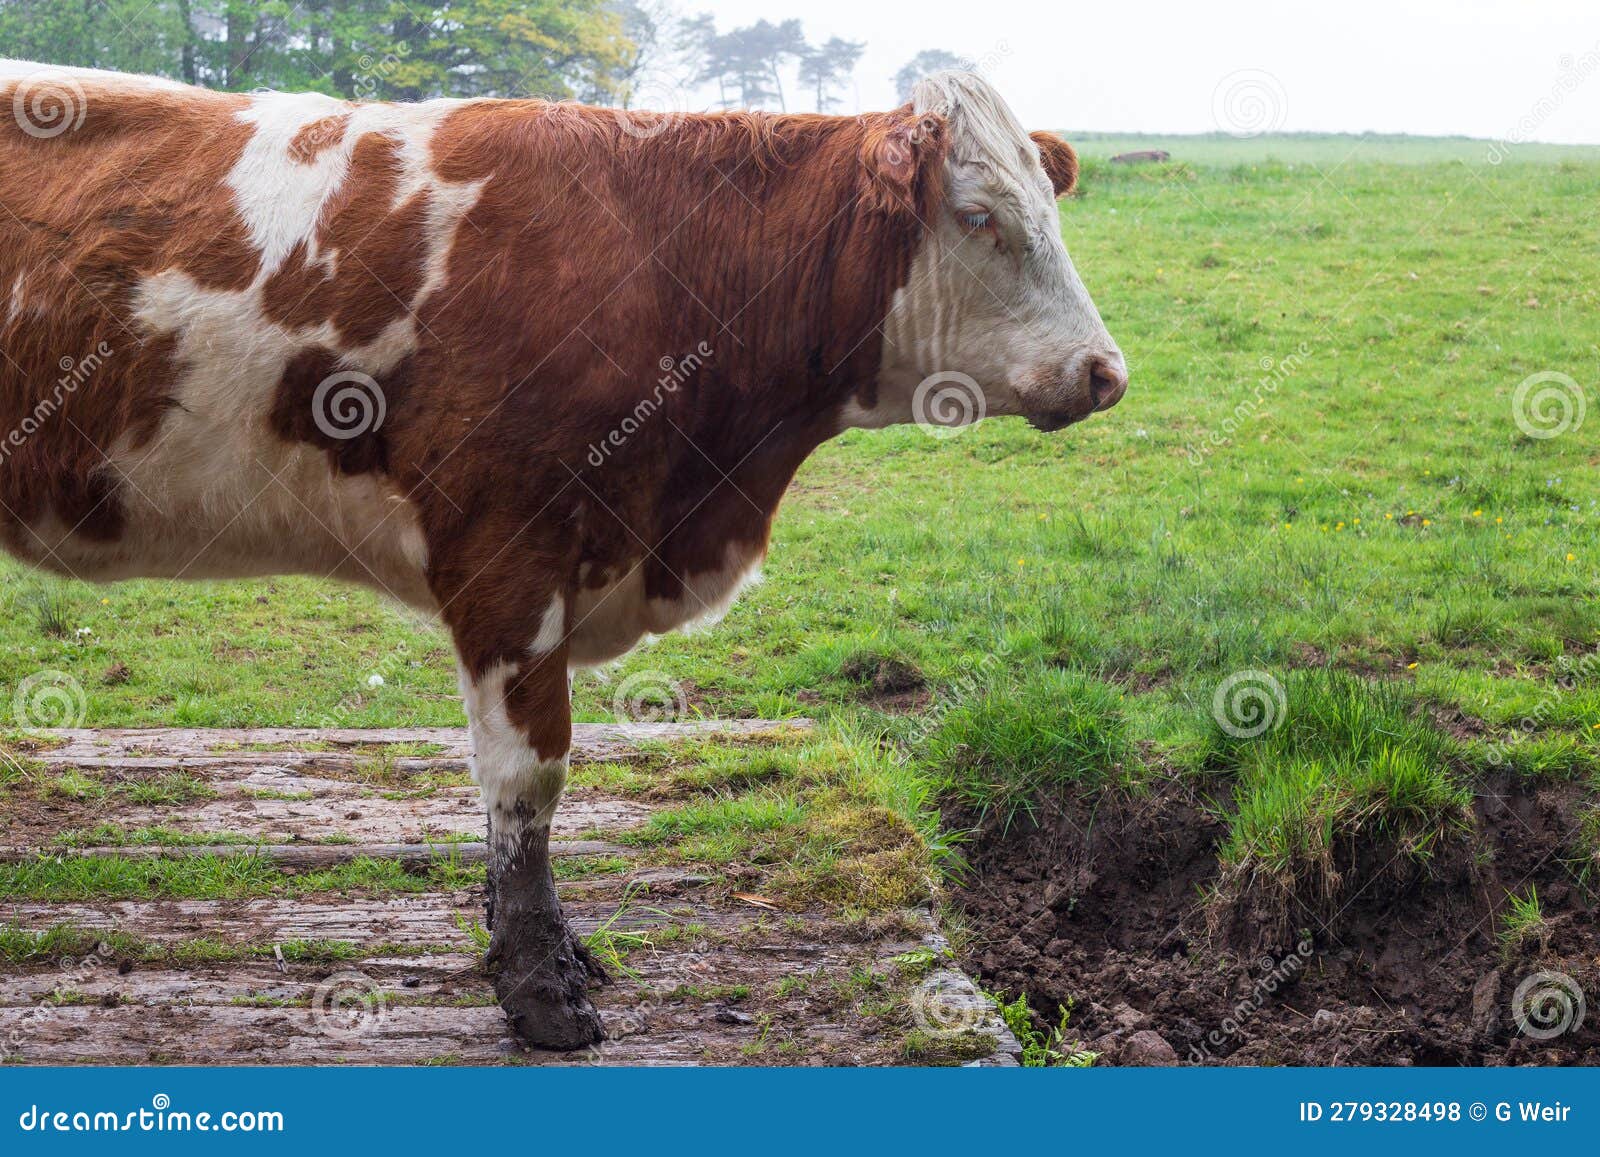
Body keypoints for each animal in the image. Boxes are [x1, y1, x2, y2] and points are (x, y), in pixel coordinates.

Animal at [0, 58, 1126, 1043]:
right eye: (977, 216)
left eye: (1051, 206)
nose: (1103, 370)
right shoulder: (506, 550)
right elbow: (528, 778)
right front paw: (538, 983)